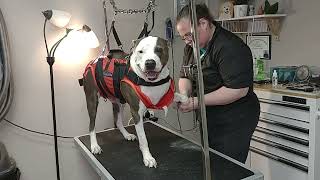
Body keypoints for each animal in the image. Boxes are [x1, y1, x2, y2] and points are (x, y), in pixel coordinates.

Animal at [79, 35, 185, 168]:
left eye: (159, 50)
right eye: (140, 51)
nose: (150, 63)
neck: (150, 82)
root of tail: (94, 60)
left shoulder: (166, 94)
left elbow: (183, 97)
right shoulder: (136, 112)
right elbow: (143, 139)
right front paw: (148, 158)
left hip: (118, 102)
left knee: (118, 120)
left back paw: (126, 135)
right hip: (92, 100)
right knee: (91, 125)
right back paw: (94, 146)